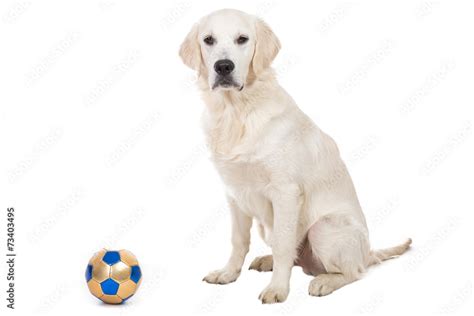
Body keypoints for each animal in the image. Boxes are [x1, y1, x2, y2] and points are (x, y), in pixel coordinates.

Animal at [180, 8, 410, 302]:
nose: (223, 67)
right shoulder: (234, 193)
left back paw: (325, 281)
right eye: (208, 40)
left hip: (324, 227)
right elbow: (238, 241)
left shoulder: (285, 192)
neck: (237, 112)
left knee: (354, 272)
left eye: (242, 39)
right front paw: (228, 273)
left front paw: (277, 289)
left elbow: (283, 244)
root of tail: (367, 252)